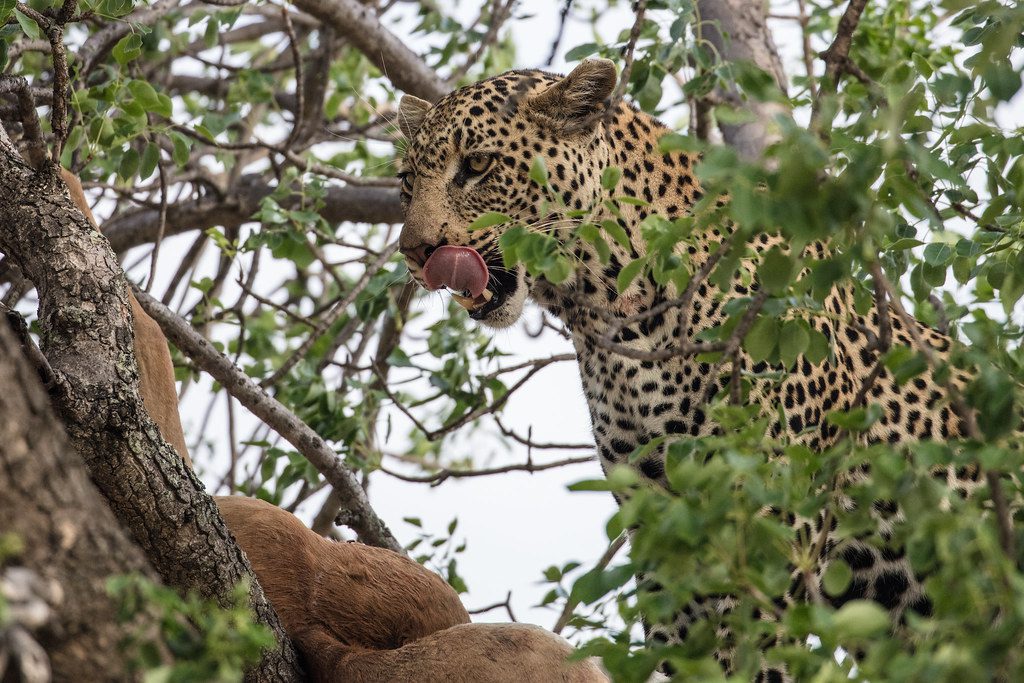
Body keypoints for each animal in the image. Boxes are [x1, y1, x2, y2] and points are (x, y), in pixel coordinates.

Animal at [393, 57, 983, 679]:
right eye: (407, 182)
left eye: (477, 166)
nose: (416, 252)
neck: (608, 310)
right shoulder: (659, 510)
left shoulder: (768, 505)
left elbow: (753, 648)